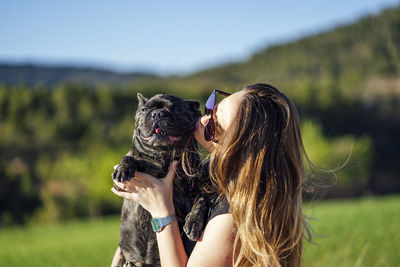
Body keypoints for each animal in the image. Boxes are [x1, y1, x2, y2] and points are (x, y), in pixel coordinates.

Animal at [111, 93, 211, 266]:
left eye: (176, 109)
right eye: (144, 110)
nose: (157, 113)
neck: (165, 155)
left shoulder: (199, 186)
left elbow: (203, 199)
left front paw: (193, 222)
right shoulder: (122, 187)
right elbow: (130, 157)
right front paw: (124, 168)